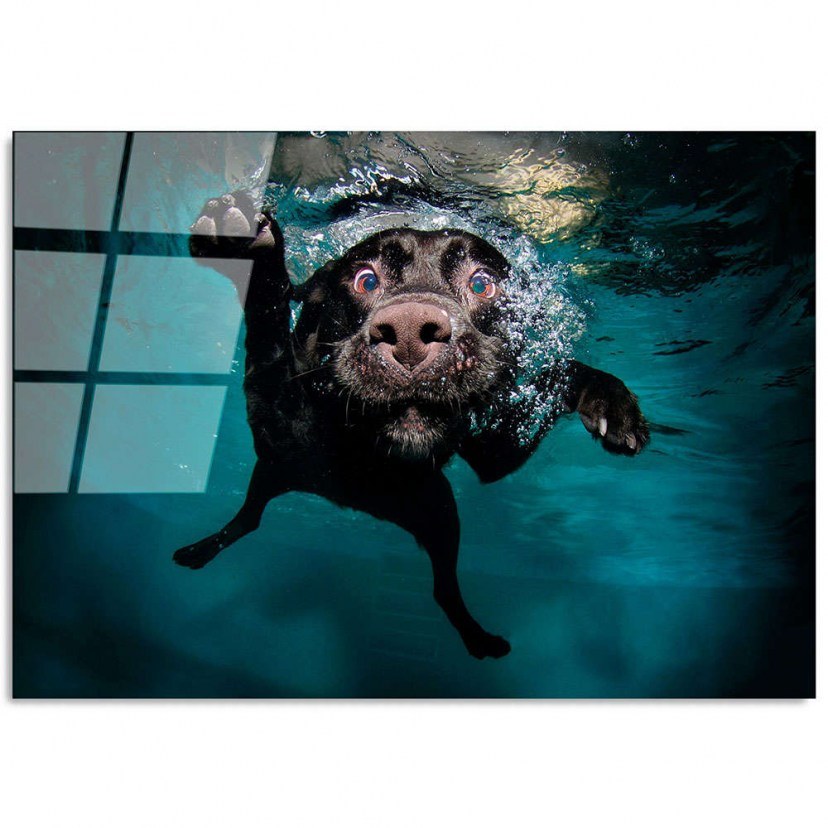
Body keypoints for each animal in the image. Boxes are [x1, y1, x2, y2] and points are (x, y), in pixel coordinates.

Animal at [173, 191, 649, 659]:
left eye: (482, 283)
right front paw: (245, 244)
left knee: (443, 588)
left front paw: (610, 400)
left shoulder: (496, 451)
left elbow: (558, 372)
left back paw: (478, 638)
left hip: (439, 512)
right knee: (249, 519)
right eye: (366, 280)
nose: (407, 332)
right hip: (277, 472)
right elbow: (267, 322)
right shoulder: (273, 407)